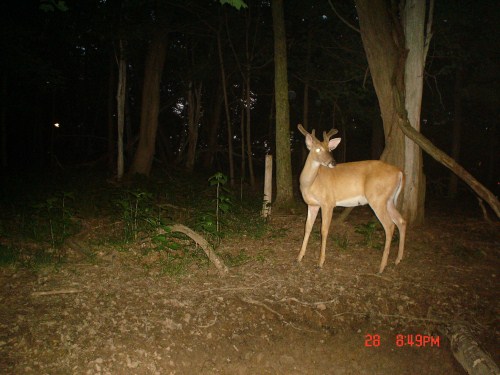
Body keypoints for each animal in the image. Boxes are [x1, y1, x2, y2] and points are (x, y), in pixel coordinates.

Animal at [296, 125, 406, 274]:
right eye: (318, 149)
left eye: (329, 149)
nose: (333, 162)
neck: (310, 183)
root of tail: (399, 172)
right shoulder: (312, 204)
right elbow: (307, 227)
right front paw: (299, 257)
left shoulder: (328, 202)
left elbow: (323, 230)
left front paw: (320, 262)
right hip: (388, 200)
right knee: (401, 221)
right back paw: (398, 260)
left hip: (377, 198)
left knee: (389, 225)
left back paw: (381, 267)